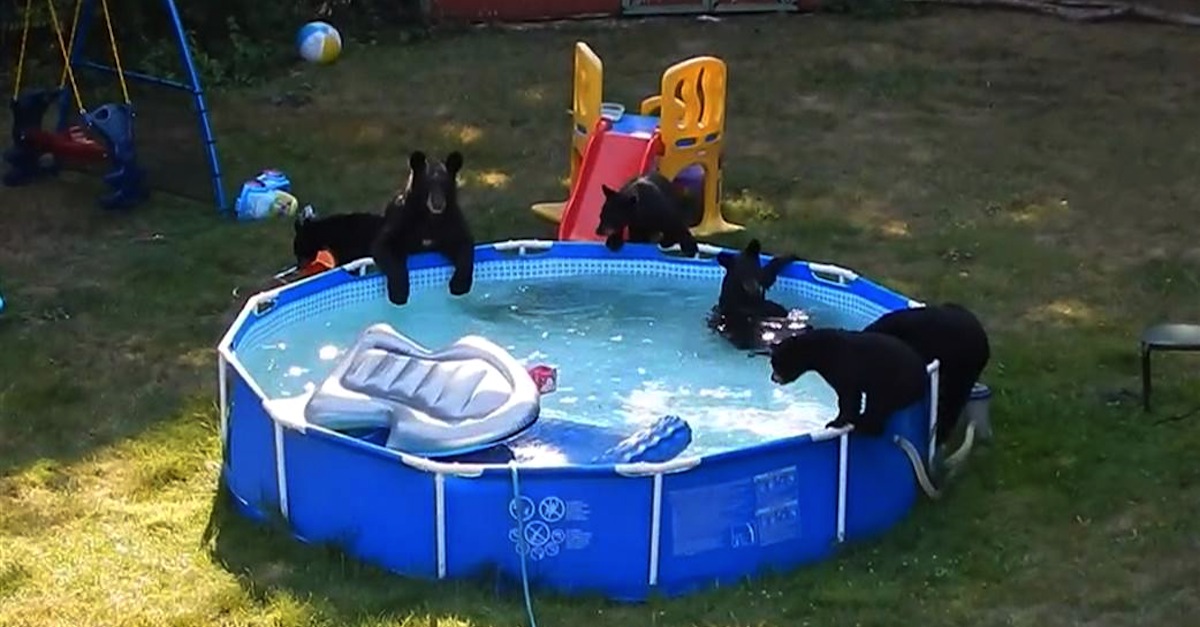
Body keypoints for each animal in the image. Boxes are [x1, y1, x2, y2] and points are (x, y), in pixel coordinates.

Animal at [372, 149, 475, 305]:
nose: (438, 203)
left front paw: (459, 285)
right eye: (428, 185)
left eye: (445, 185)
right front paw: (399, 292)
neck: (430, 216)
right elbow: (384, 245)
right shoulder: (402, 217)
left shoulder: (452, 219)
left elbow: (463, 243)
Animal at [768, 326, 926, 434]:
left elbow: (849, 397)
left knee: (878, 402)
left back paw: (865, 424)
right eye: (772, 363)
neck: (820, 352)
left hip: (895, 381)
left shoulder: (844, 367)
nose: (773, 378)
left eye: (777, 364)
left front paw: (835, 422)